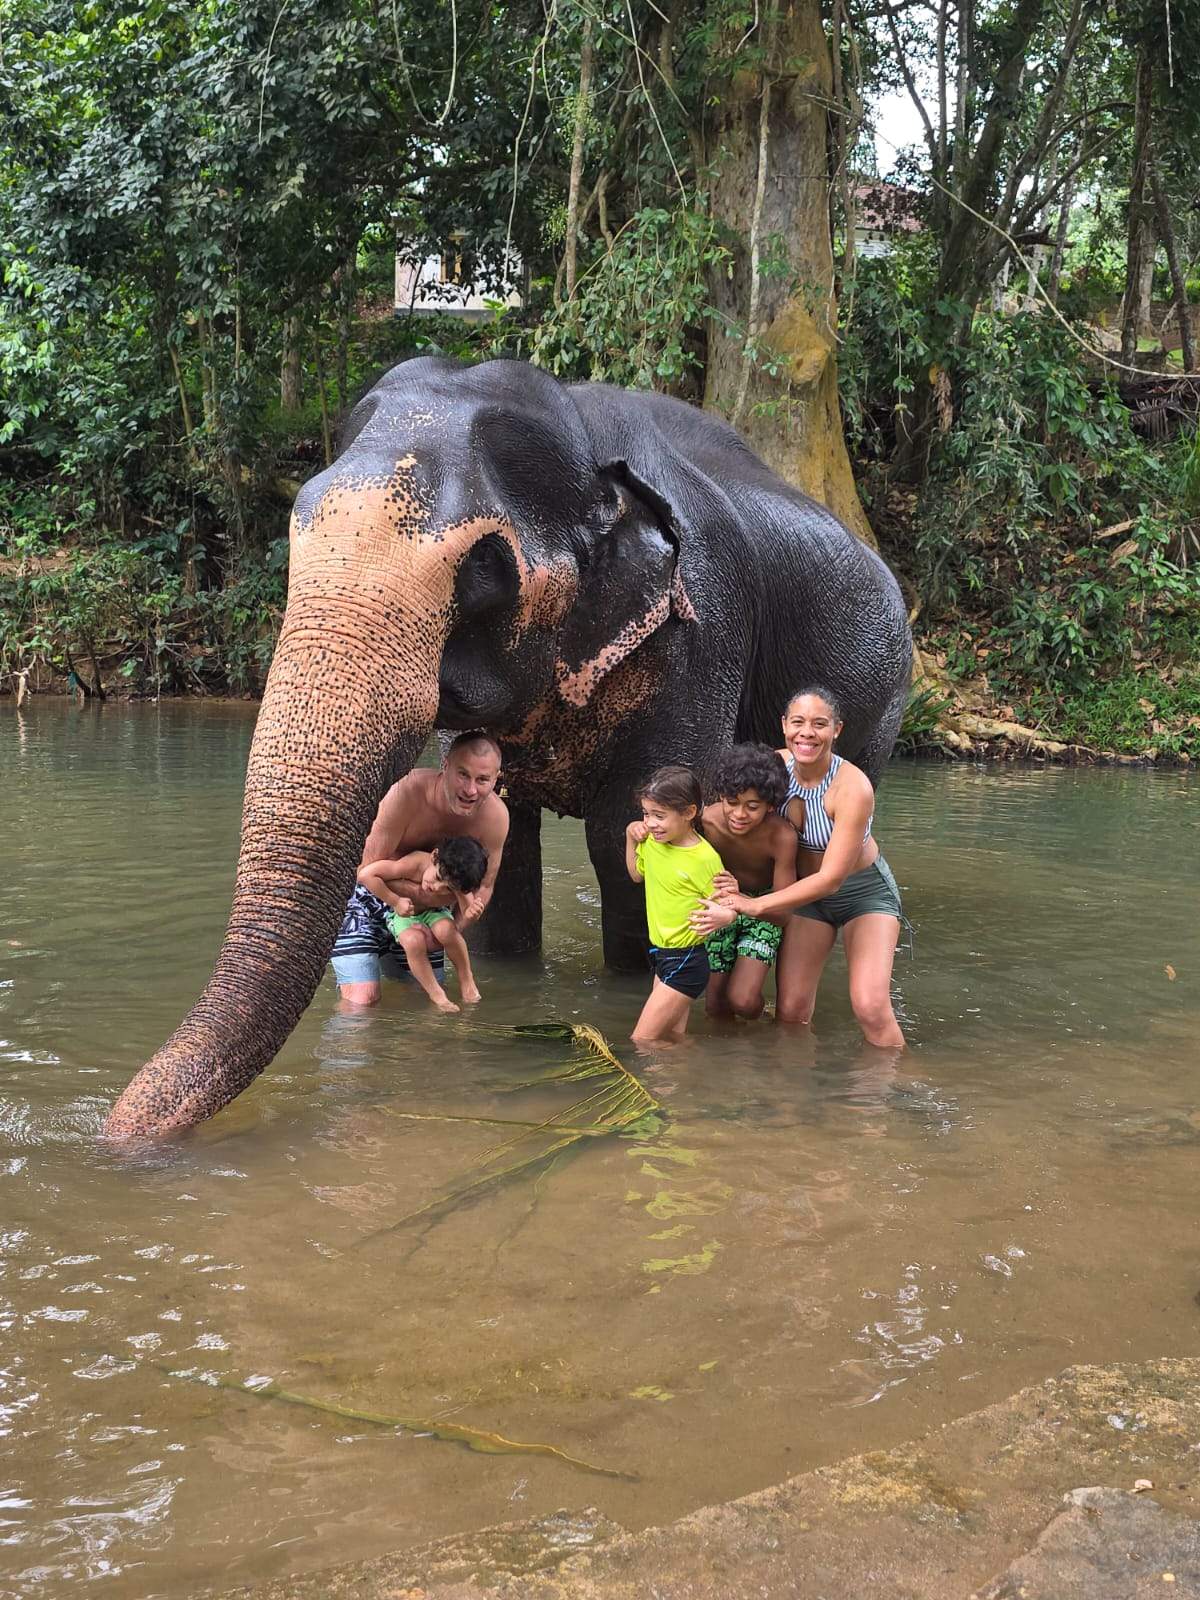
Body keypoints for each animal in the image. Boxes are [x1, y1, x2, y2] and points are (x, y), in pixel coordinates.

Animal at [103, 356, 911, 1138]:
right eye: (295, 534)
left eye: (485, 565)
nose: (113, 1127)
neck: (583, 434)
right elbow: (506, 853)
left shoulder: (701, 636)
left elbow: (621, 834)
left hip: (883, 697)